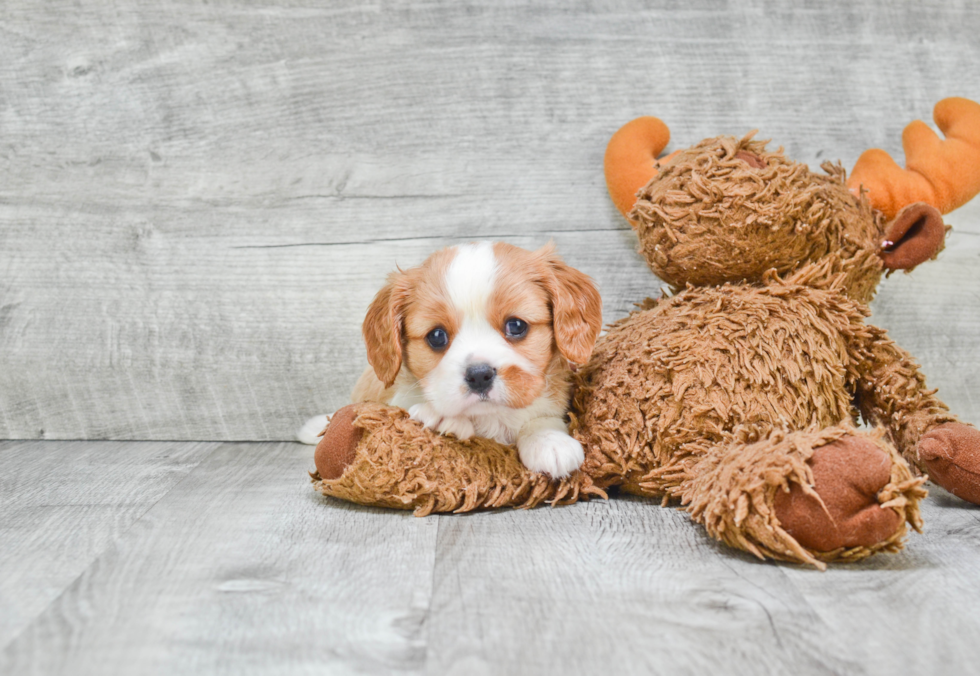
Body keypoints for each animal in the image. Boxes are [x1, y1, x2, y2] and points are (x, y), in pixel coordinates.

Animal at [300, 240, 604, 478]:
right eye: (437, 336)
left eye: (516, 326)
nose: (479, 375)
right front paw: (441, 417)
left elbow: (541, 416)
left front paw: (549, 441)